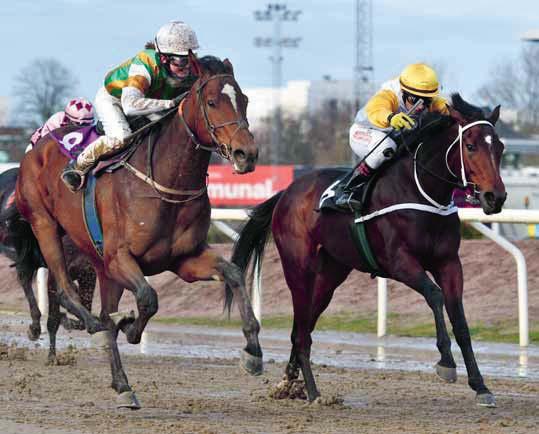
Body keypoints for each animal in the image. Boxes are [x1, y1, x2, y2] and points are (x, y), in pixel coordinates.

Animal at [0, 167, 96, 362]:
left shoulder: (88, 273)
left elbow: (83, 307)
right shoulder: (54, 274)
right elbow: (54, 316)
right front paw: (52, 355)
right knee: (25, 282)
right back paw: (35, 327)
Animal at [13, 52, 262, 408]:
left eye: (244, 100)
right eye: (212, 102)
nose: (247, 154)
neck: (166, 181)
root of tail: (38, 144)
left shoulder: (184, 259)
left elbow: (234, 273)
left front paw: (252, 351)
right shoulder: (120, 257)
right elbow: (148, 298)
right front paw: (130, 327)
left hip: (100, 266)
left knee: (98, 308)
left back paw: (122, 383)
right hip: (46, 226)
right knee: (65, 289)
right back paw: (93, 325)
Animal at [231, 94, 506, 406]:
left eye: (499, 147)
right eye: (470, 146)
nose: (495, 197)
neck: (421, 191)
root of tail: (287, 192)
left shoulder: (449, 263)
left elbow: (459, 319)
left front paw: (481, 386)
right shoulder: (399, 262)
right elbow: (435, 296)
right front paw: (446, 362)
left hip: (330, 274)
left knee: (303, 326)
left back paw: (289, 382)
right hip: (298, 268)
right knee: (301, 329)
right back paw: (313, 392)